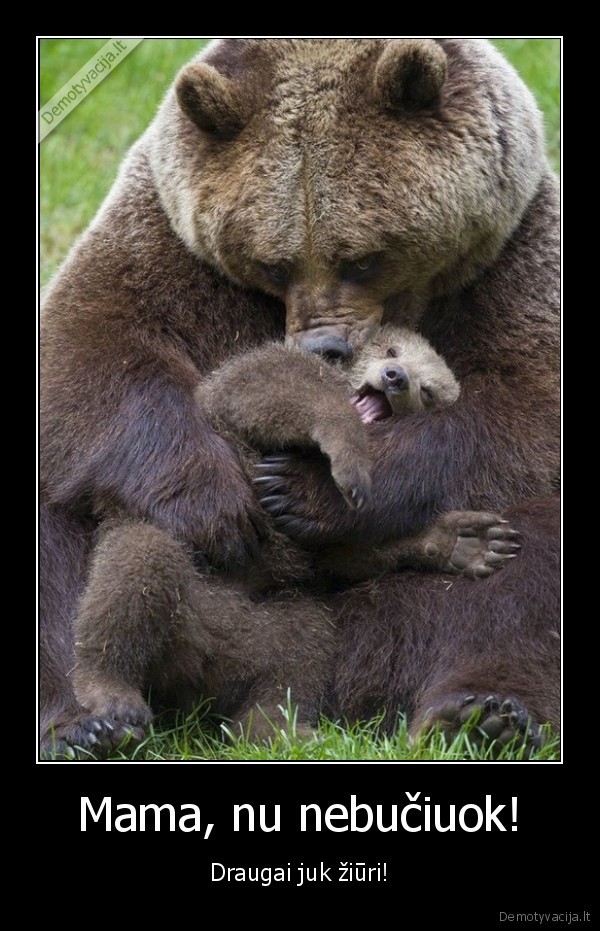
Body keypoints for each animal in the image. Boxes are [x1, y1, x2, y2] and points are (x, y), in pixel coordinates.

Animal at [39, 40, 560, 760]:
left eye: (365, 257)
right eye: (273, 263)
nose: (327, 346)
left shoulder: (514, 261)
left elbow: (521, 411)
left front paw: (311, 489)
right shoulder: (166, 243)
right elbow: (89, 348)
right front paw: (219, 501)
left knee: (523, 563)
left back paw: (483, 710)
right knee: (68, 536)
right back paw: (87, 719)